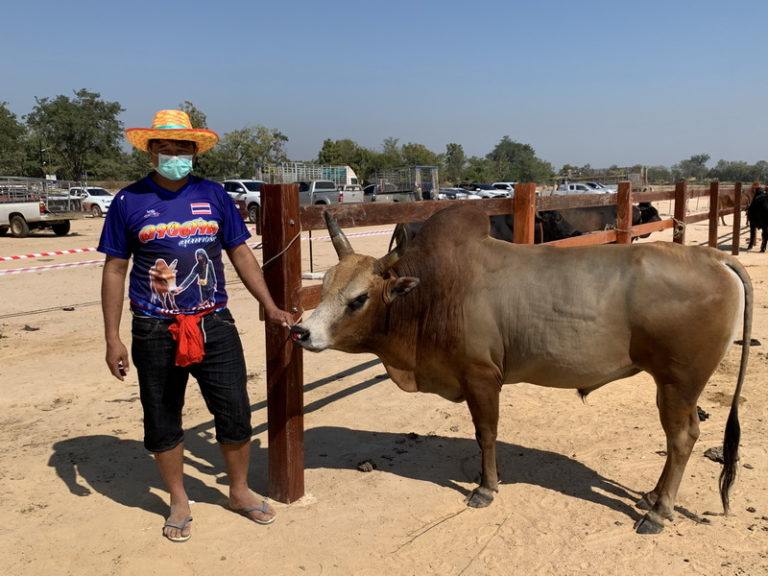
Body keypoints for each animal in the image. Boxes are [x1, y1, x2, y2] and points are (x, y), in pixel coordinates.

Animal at [292, 205, 752, 532]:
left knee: (682, 438)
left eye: (358, 299)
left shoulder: (481, 377)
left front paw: (486, 487)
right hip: (670, 385)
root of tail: (713, 258)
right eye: (326, 286)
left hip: (679, 383)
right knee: (679, 439)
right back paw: (653, 498)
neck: (434, 292)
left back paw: (658, 512)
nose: (300, 331)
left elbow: (486, 435)